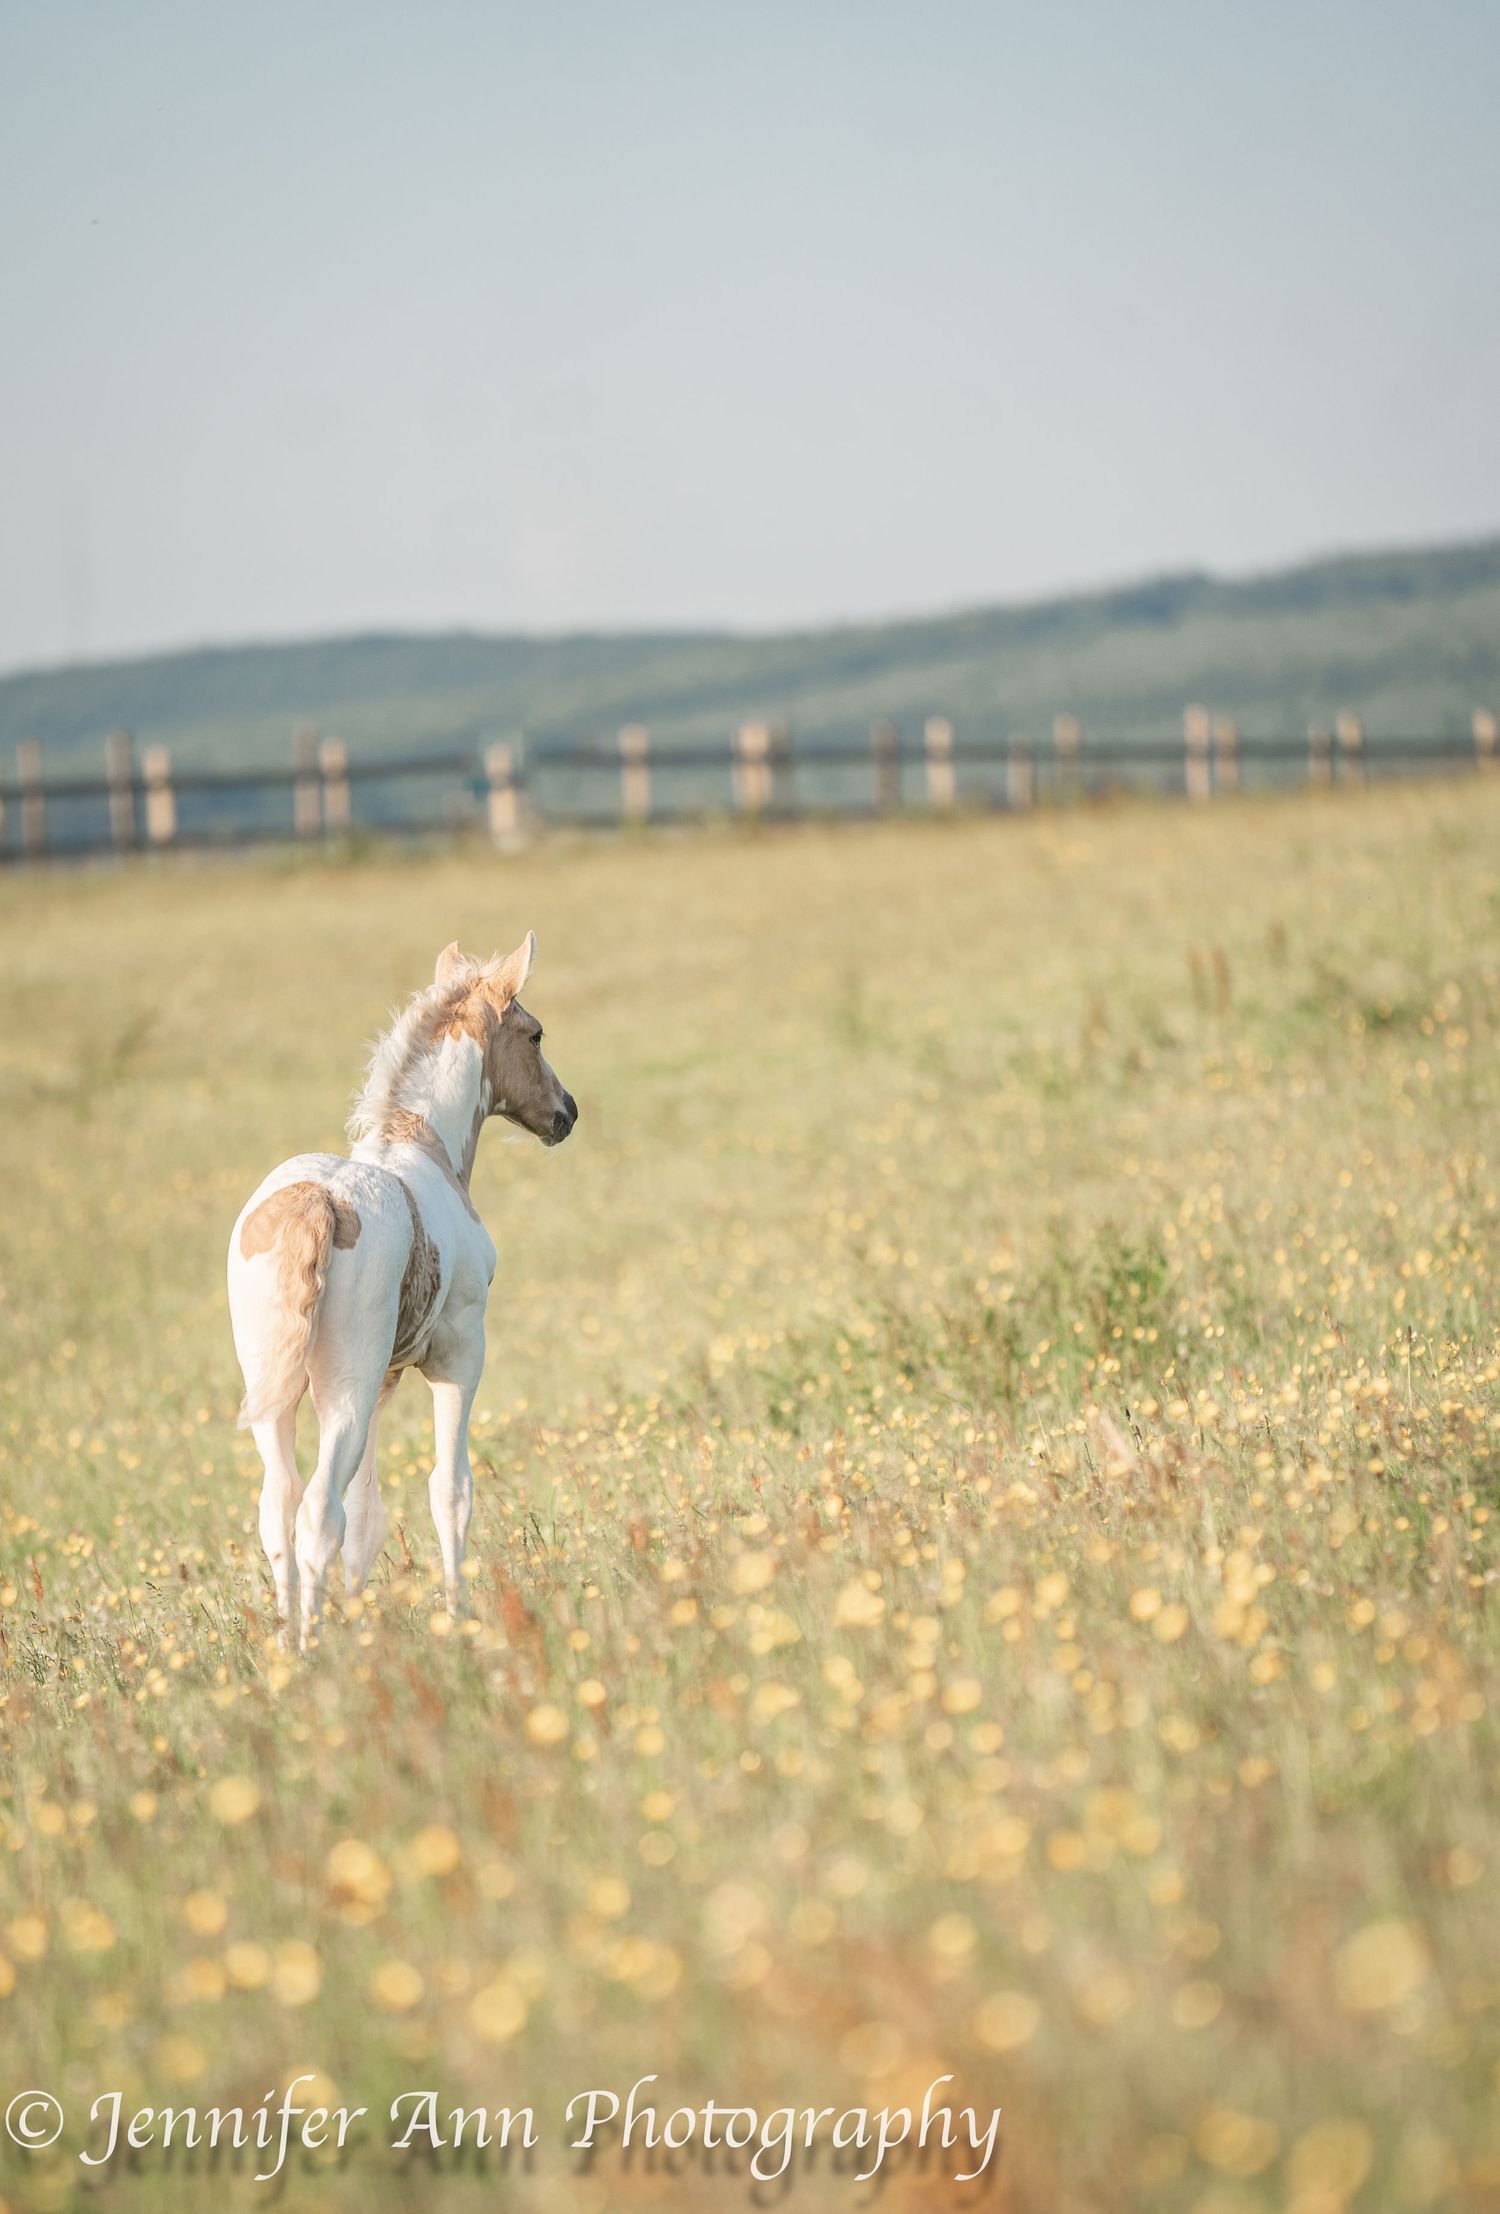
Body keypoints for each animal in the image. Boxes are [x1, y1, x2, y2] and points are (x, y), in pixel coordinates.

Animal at [227, 933, 577, 1647]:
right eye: (534, 1034)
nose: (567, 1113)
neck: (424, 1148)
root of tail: (318, 1203)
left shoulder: (386, 1380)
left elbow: (368, 1516)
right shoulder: (459, 1356)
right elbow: (450, 1490)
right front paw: (460, 1619)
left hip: (277, 1390)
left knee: (281, 1507)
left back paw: (288, 1647)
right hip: (345, 1388)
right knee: (316, 1511)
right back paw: (315, 1651)